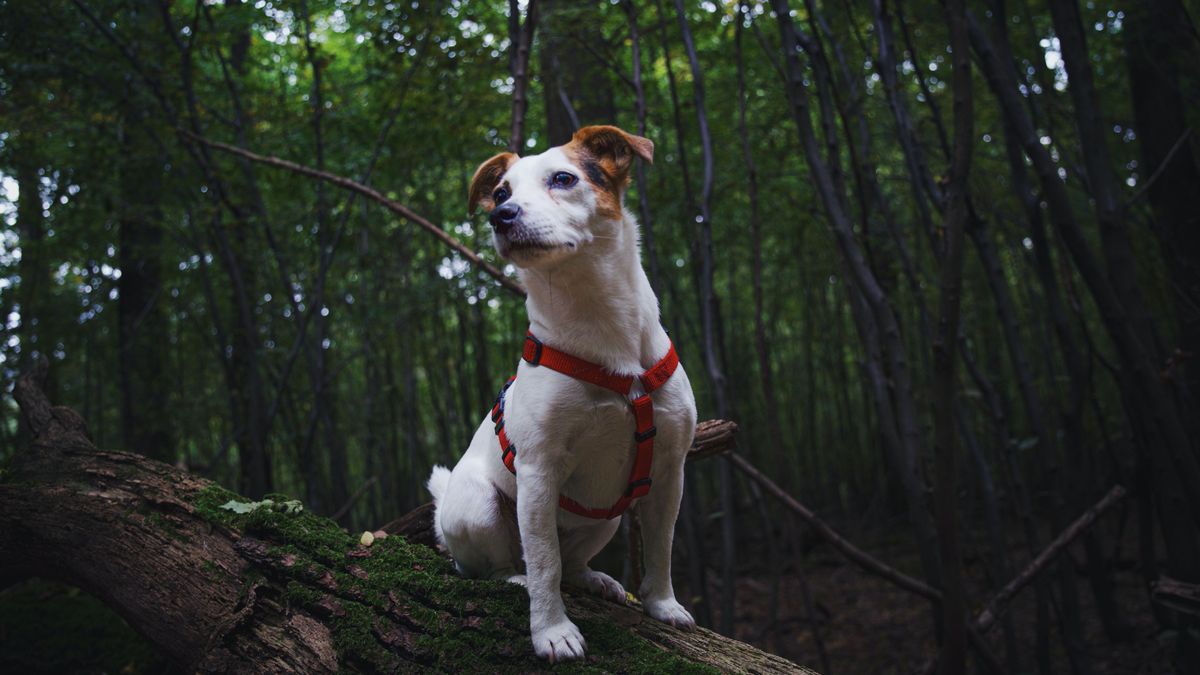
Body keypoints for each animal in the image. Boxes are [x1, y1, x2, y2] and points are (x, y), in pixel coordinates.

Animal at [427, 124, 700, 658]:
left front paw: (662, 604)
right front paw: (552, 631)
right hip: (479, 507)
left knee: (572, 562)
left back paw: (596, 578)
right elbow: (544, 564)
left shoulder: (668, 470)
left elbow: (661, 547)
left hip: (604, 518)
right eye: (500, 192)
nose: (500, 215)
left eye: (563, 178)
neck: (600, 325)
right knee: (502, 564)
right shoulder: (539, 471)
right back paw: (513, 579)